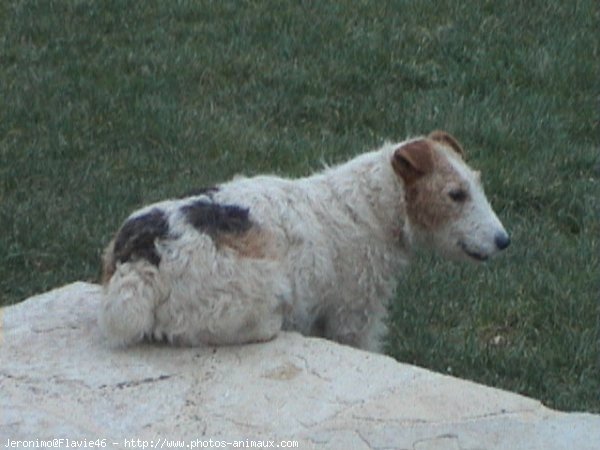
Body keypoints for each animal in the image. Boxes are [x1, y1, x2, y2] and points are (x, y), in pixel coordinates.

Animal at [99, 130, 510, 352]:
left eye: (476, 182)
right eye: (456, 194)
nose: (503, 240)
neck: (369, 206)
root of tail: (138, 262)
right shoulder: (354, 315)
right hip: (258, 300)